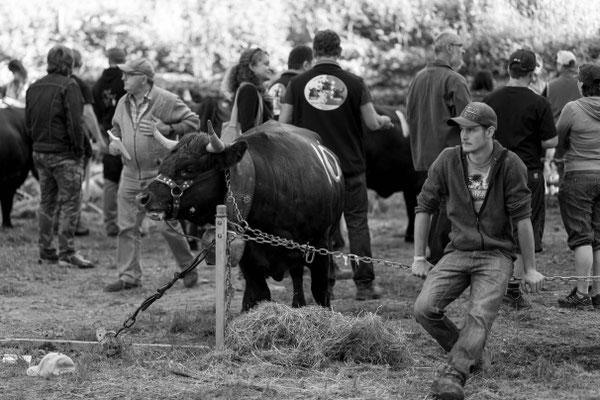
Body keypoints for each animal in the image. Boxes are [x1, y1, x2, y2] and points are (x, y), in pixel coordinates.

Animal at [135, 120, 342, 310]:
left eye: (188, 169)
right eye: (162, 165)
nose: (143, 198)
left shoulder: (319, 248)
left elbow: (320, 291)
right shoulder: (249, 259)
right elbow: (259, 293)